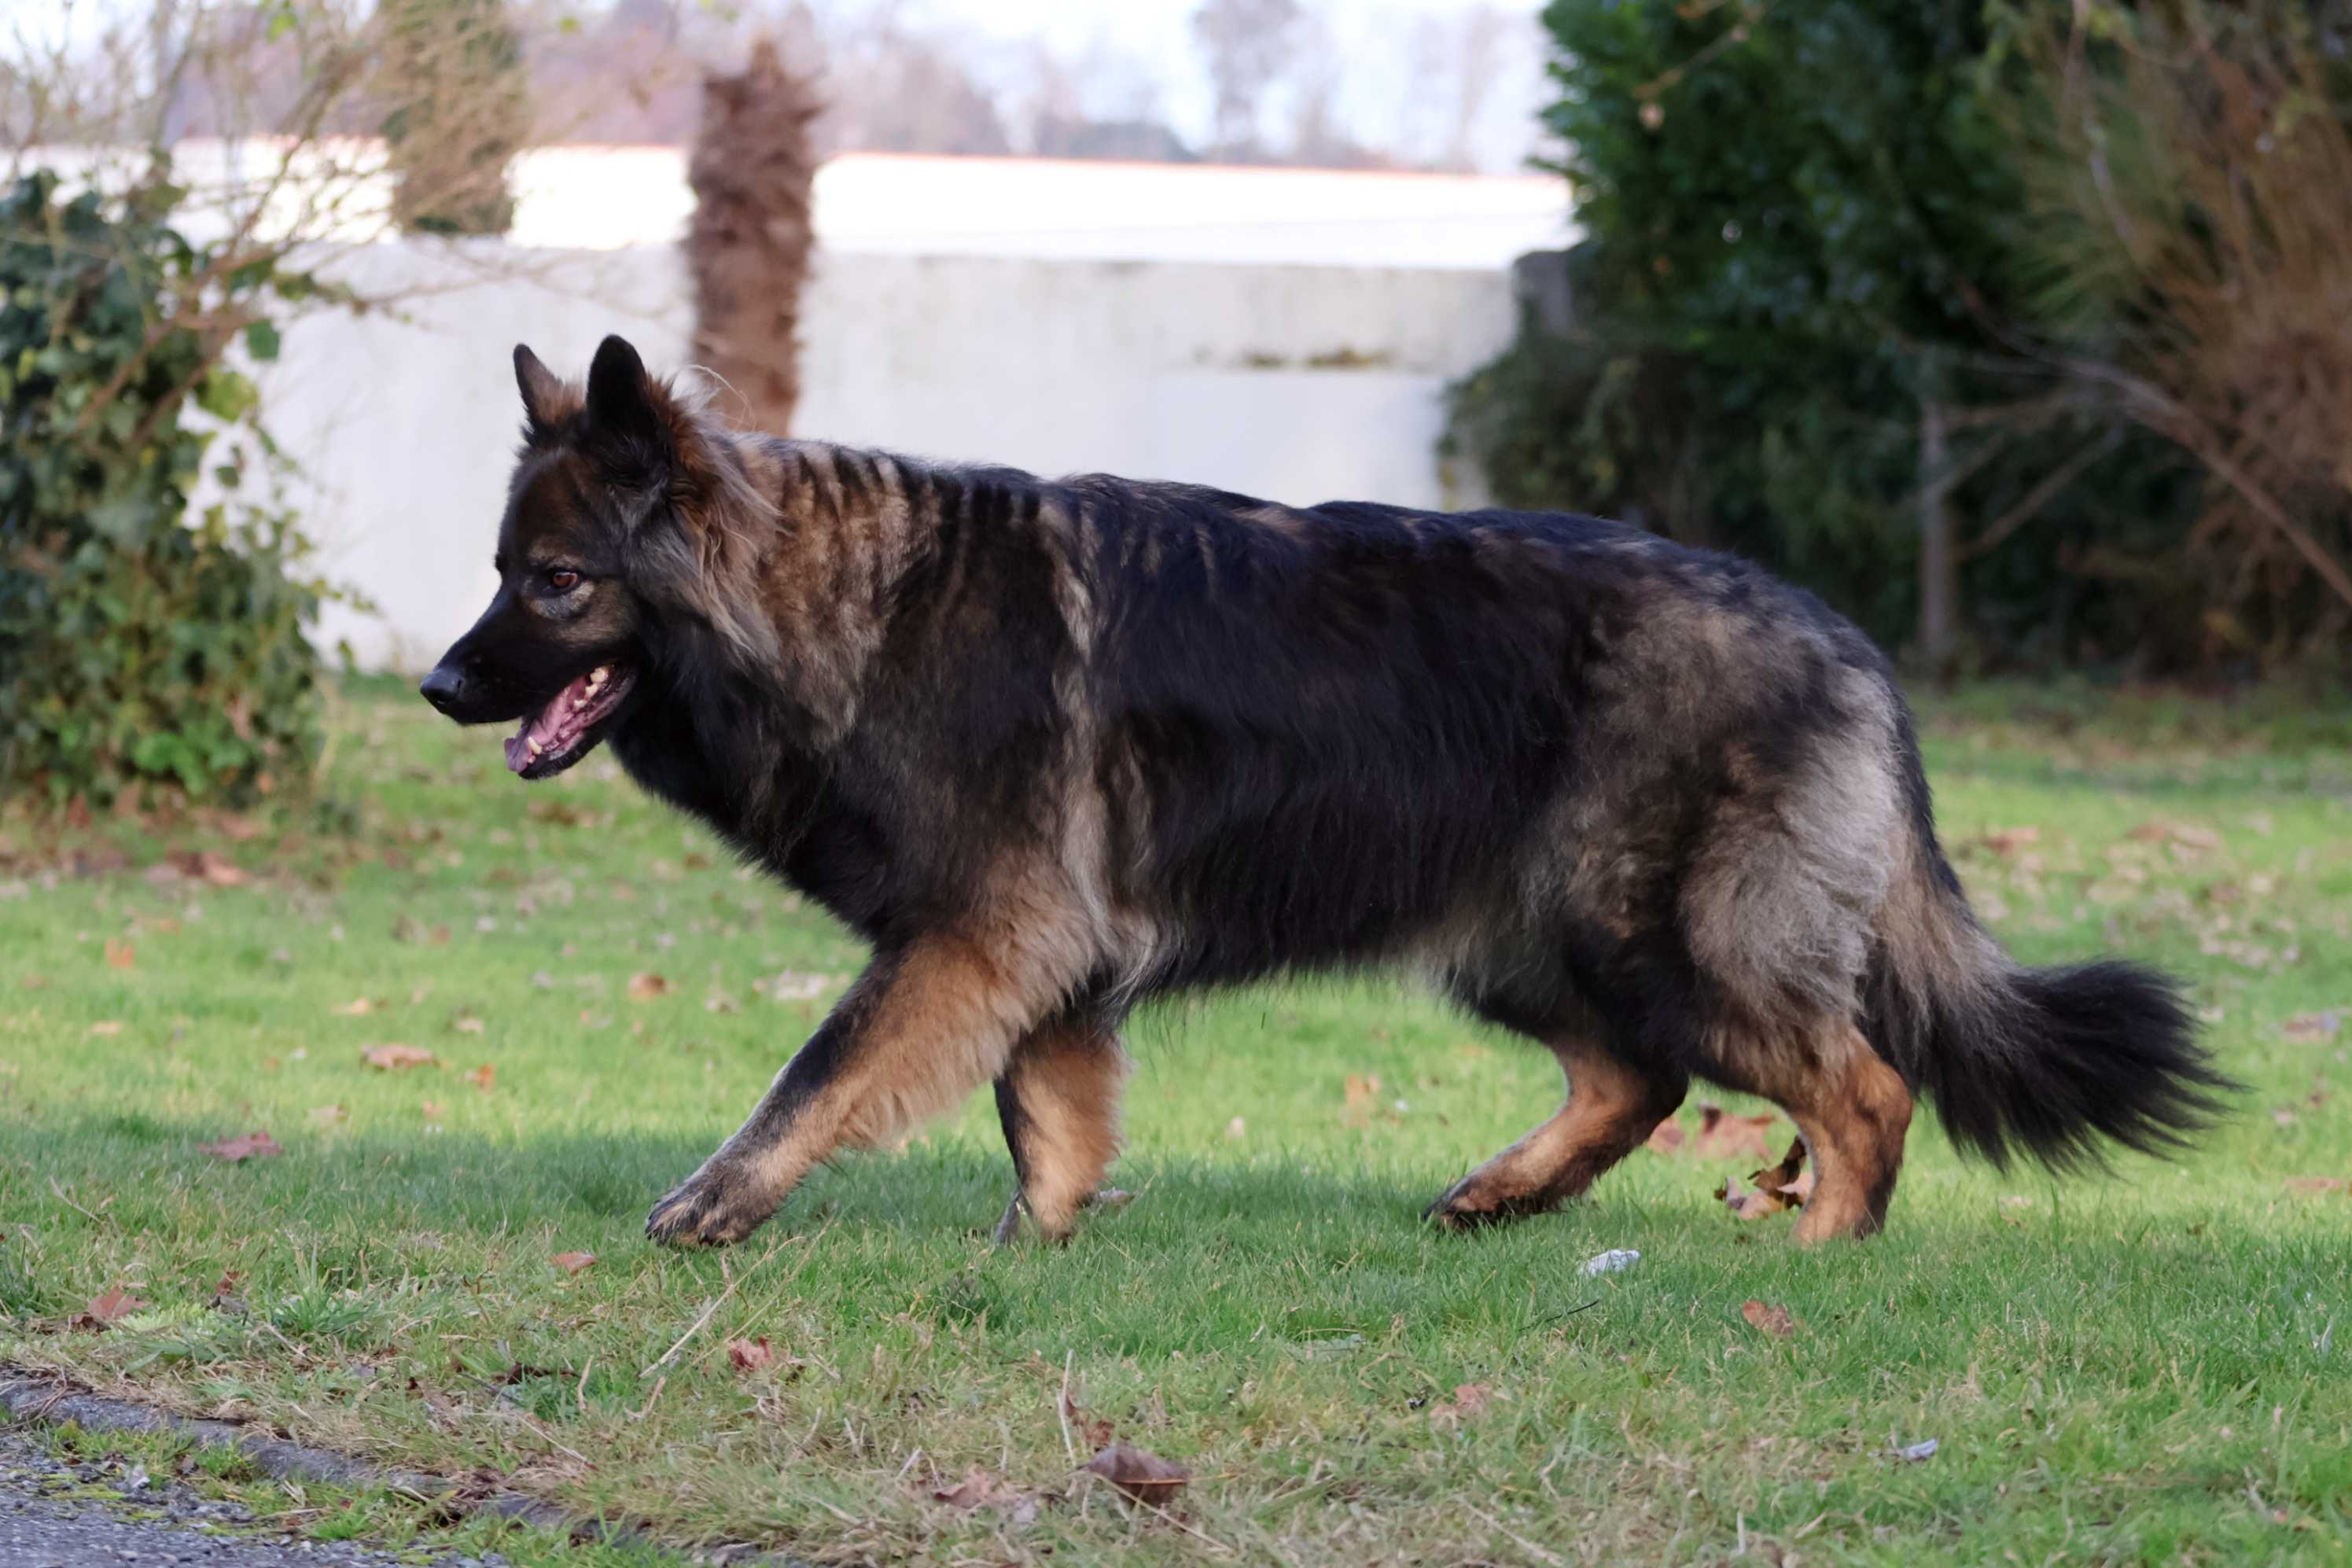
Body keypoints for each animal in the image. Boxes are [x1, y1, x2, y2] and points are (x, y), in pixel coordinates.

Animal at [421, 335, 2228, 1248]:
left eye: (556, 581)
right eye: (497, 568)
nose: (439, 683)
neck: (853, 612)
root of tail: (1846, 640)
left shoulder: (970, 940)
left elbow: (818, 1073)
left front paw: (714, 1204)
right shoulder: (1040, 961)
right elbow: (1041, 1118)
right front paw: (1034, 1252)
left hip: (1663, 937)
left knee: (1857, 1083)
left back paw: (1816, 1249)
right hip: (1520, 940)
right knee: (1636, 1078)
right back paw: (1505, 1196)